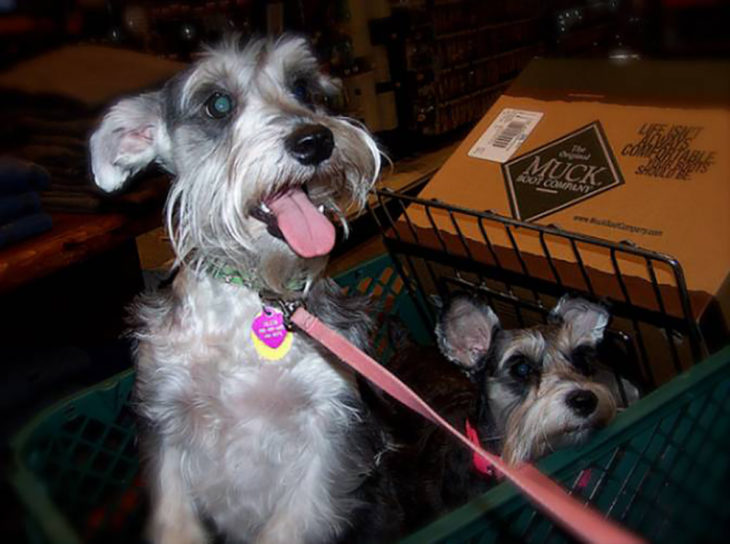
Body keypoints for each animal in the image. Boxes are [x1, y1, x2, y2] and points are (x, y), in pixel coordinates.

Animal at [89, 36, 404, 540]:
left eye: (302, 87)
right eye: (218, 104)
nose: (315, 140)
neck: (251, 294)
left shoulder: (332, 426)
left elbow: (290, 524)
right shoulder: (164, 416)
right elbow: (174, 522)